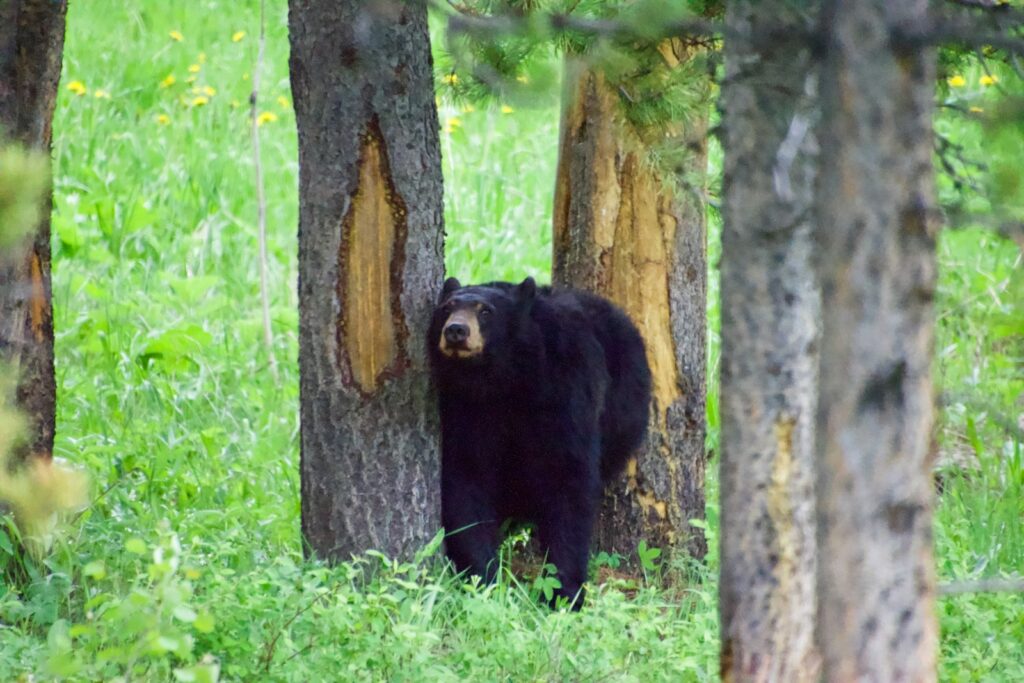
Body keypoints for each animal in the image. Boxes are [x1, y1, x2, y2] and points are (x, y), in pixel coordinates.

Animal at [427, 276, 652, 609]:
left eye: (485, 311)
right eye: (447, 307)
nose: (456, 330)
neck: (503, 377)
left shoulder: (566, 388)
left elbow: (568, 477)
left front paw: (565, 592)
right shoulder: (465, 407)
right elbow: (466, 477)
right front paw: (483, 578)